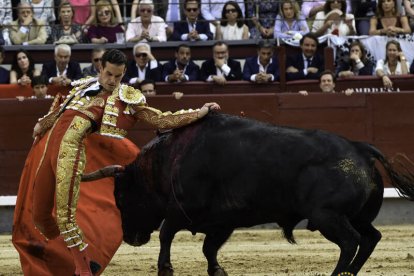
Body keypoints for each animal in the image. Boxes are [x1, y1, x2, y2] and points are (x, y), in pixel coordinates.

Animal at [82, 112, 414, 276]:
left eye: (121, 199)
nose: (130, 238)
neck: (168, 159)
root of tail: (361, 148)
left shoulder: (180, 210)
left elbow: (166, 234)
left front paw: (165, 268)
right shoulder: (222, 222)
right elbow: (209, 249)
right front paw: (218, 271)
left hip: (327, 216)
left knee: (350, 242)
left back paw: (337, 275)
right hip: (356, 216)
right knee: (370, 238)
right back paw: (349, 275)